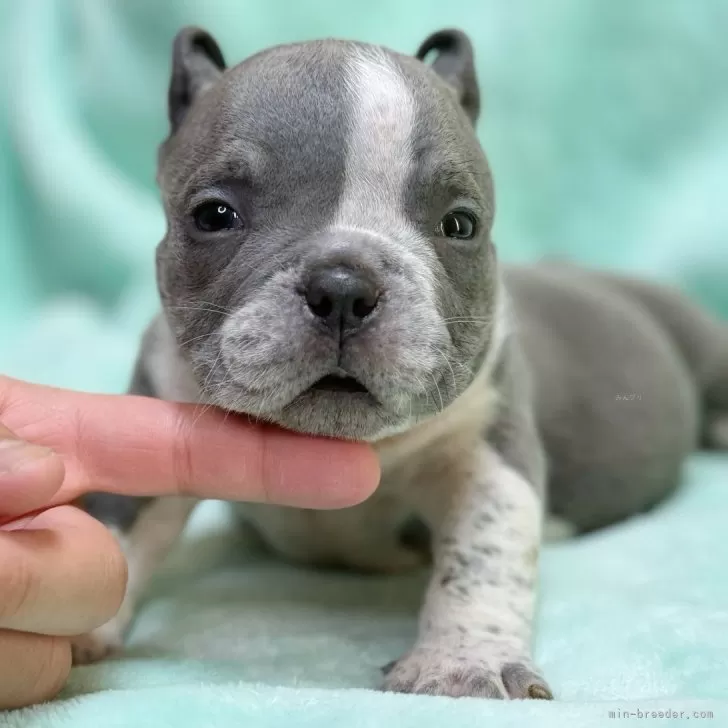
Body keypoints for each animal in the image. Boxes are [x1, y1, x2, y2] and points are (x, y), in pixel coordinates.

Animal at [72, 28, 728, 700]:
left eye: (459, 224)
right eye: (214, 215)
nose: (342, 286)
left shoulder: (488, 452)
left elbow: (482, 552)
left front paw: (463, 661)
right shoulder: (157, 429)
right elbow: (120, 525)